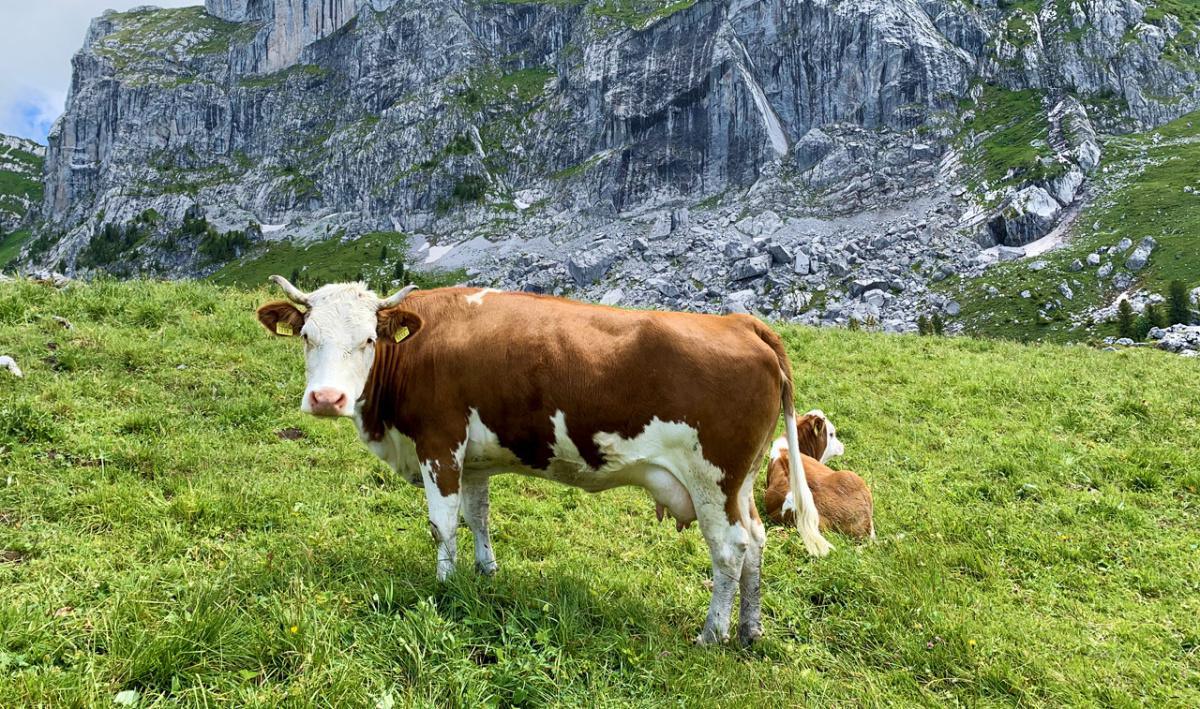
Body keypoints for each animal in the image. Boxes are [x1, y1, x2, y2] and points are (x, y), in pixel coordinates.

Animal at [256, 278, 830, 647]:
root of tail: (740, 323)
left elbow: (443, 524)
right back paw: (750, 630)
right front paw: (485, 574)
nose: (326, 399)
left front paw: (443, 586)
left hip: (713, 479)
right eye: (307, 336)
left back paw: (712, 635)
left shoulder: (439, 444)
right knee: (756, 541)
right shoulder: (473, 458)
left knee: (730, 551)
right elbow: (477, 516)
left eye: (369, 339)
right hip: (740, 484)